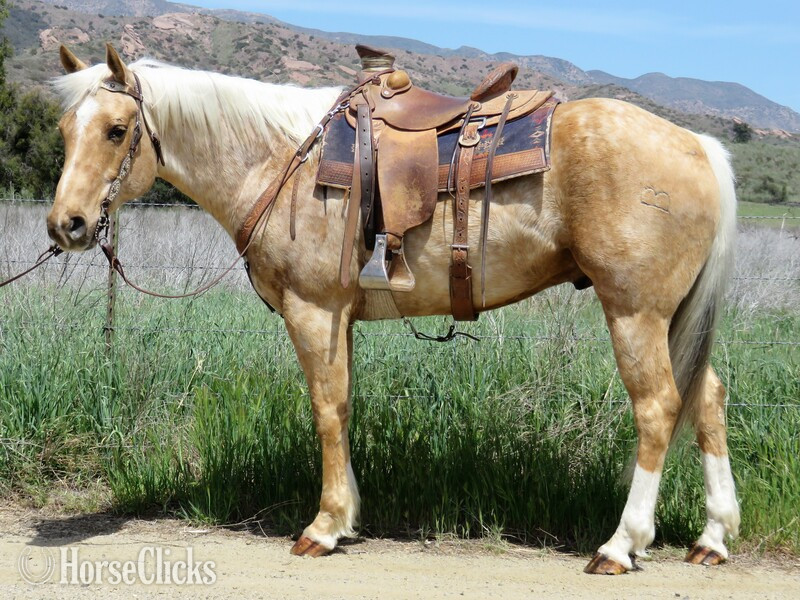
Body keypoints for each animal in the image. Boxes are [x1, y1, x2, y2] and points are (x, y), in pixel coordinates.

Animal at [47, 43, 739, 574]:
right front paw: (348, 515)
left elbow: (327, 411)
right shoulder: (340, 321)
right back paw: (712, 537)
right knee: (706, 398)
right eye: (64, 131)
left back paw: (622, 545)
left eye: (116, 130)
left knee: (658, 408)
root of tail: (698, 144)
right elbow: (344, 408)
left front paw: (324, 526)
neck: (278, 161)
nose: (67, 225)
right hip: (671, 316)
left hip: (635, 312)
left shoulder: (315, 311)